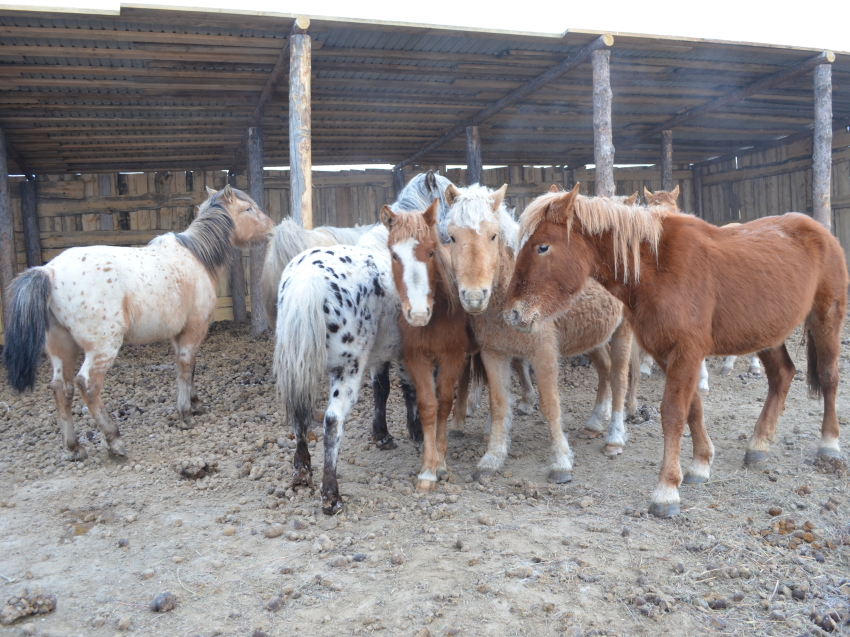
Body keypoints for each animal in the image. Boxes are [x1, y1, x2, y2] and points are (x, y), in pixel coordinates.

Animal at [3, 186, 274, 460]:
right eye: (248, 208)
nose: (272, 226)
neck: (196, 257)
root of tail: (50, 271)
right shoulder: (194, 330)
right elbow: (186, 368)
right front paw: (186, 415)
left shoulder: (178, 334)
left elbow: (188, 369)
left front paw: (195, 404)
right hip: (102, 347)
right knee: (88, 385)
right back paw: (114, 440)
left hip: (62, 347)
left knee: (62, 388)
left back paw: (73, 447)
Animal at [380, 201, 480, 490]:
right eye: (394, 255)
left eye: (432, 252)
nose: (417, 314)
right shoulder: (417, 358)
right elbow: (427, 405)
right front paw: (427, 469)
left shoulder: (451, 356)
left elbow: (444, 402)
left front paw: (441, 462)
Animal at [444, 183, 636, 482]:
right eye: (451, 237)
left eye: (493, 235)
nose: (474, 297)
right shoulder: (493, 353)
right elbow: (499, 404)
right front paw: (492, 458)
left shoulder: (543, 352)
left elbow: (550, 404)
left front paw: (561, 462)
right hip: (592, 336)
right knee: (605, 371)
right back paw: (594, 423)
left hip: (622, 331)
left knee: (618, 378)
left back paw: (614, 438)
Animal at [506, 183, 844, 516]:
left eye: (542, 247)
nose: (512, 313)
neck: (657, 268)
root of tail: (820, 230)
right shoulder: (668, 354)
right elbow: (692, 409)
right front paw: (700, 464)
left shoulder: (686, 352)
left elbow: (672, 413)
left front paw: (666, 491)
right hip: (766, 334)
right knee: (782, 376)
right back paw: (759, 444)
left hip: (826, 318)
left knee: (828, 377)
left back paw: (829, 445)